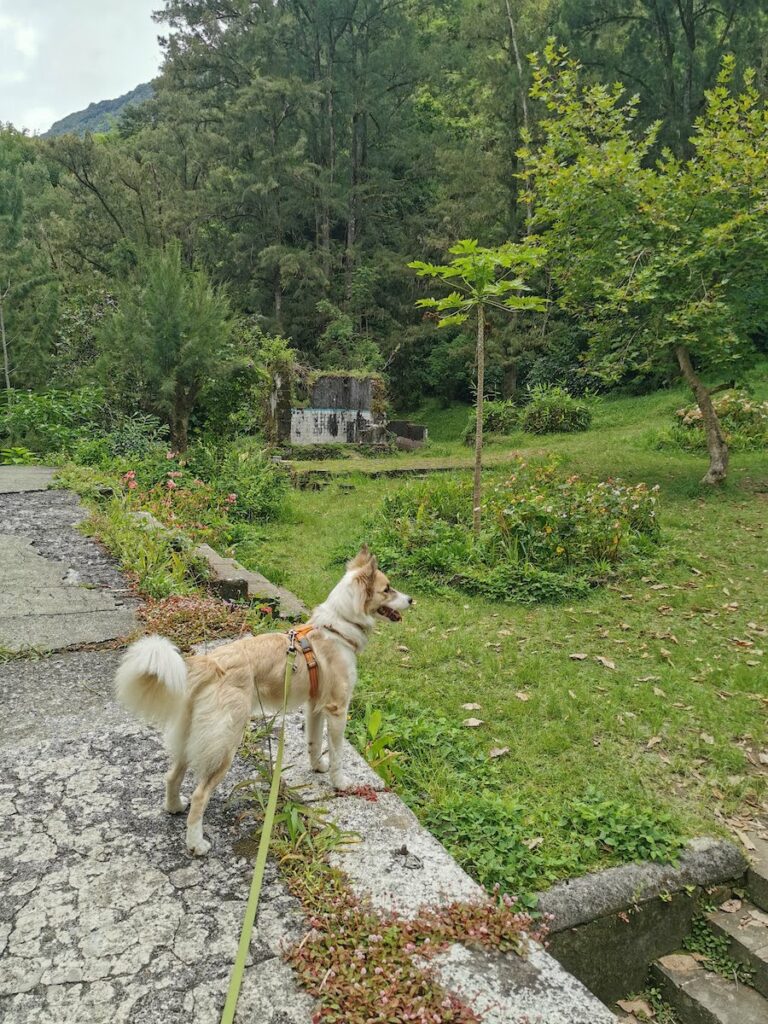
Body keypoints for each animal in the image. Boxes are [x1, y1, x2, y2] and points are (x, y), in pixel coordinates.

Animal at [114, 552, 411, 856]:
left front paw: (318, 767)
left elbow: (314, 742)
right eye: (387, 589)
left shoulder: (315, 705)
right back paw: (196, 843)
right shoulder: (337, 709)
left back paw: (174, 807)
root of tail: (210, 663)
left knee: (172, 776)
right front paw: (339, 783)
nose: (411, 600)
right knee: (199, 795)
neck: (337, 629)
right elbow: (338, 754)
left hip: (192, 735)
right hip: (225, 744)